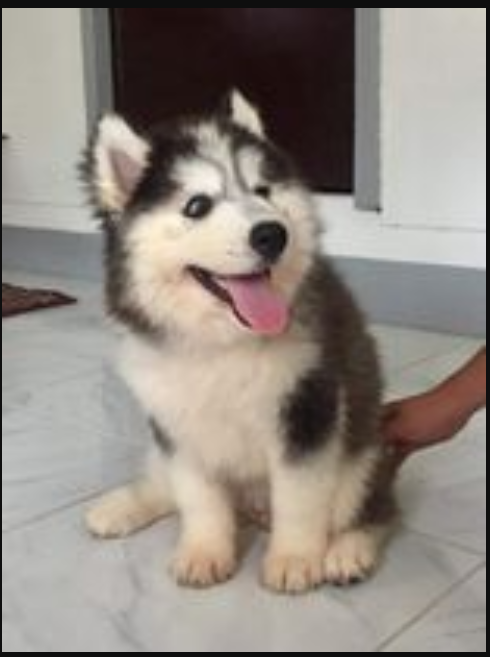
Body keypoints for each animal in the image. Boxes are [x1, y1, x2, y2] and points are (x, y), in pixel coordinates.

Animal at [83, 92, 396, 594]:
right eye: (196, 206)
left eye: (263, 191)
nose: (272, 234)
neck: (221, 342)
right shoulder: (177, 425)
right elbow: (197, 496)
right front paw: (204, 551)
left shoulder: (307, 409)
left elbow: (299, 497)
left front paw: (294, 558)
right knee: (163, 484)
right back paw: (120, 506)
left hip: (364, 454)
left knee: (374, 509)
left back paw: (349, 550)